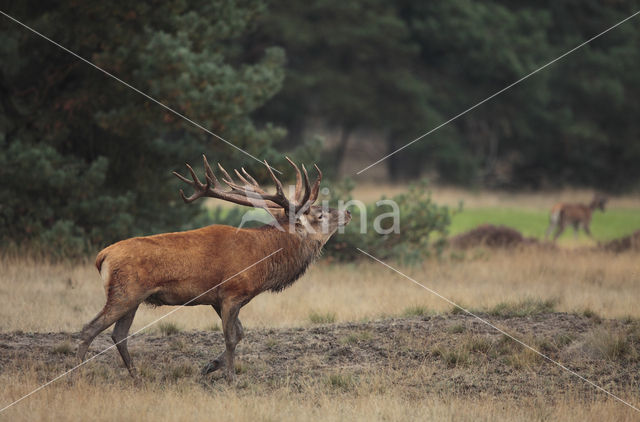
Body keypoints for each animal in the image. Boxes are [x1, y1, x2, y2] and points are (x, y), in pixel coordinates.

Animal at [77, 157, 352, 382]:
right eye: (318, 214)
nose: (348, 212)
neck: (262, 260)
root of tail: (103, 256)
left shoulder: (217, 299)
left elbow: (239, 333)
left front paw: (210, 366)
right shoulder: (231, 292)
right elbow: (230, 336)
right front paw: (231, 377)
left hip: (133, 298)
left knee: (118, 334)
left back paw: (136, 377)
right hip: (125, 293)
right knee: (89, 329)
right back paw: (76, 376)